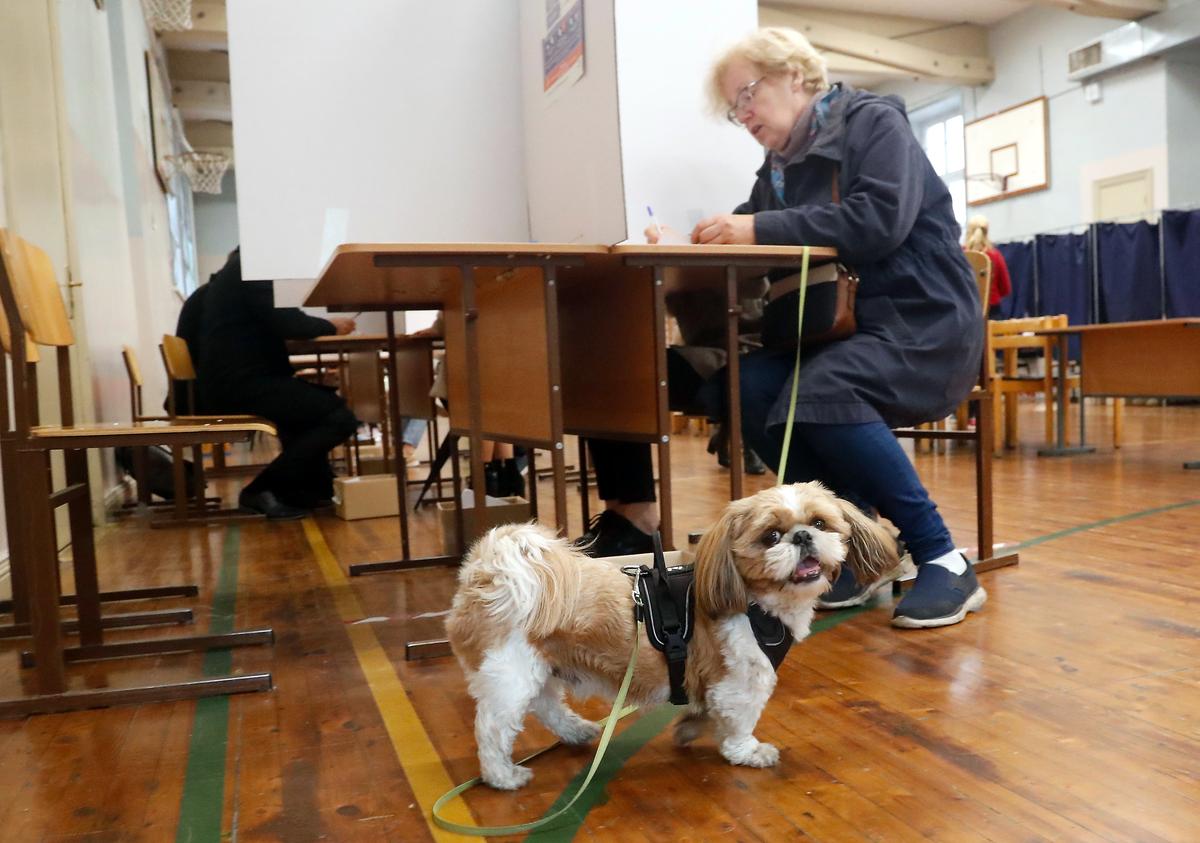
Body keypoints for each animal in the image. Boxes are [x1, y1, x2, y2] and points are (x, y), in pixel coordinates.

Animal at [446, 482, 897, 792]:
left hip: (538, 666)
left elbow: (707, 711)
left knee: (544, 704)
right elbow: (739, 721)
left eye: (820, 523)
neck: (756, 602)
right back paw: (503, 776)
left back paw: (577, 731)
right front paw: (747, 752)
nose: (802, 536)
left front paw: (691, 727)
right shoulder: (741, 679)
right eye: (771, 536)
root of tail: (485, 575)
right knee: (493, 728)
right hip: (508, 672)